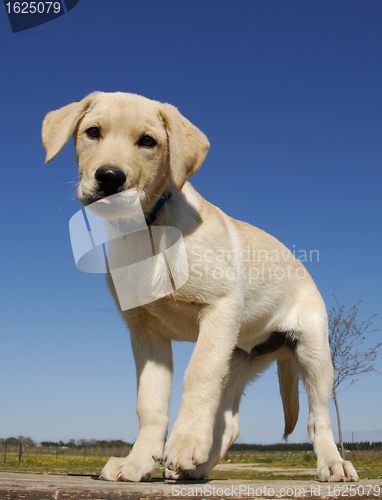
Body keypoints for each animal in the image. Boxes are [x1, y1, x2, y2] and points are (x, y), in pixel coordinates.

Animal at [41, 92, 358, 482]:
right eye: (92, 132)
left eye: (148, 141)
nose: (110, 177)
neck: (150, 229)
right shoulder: (145, 332)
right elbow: (149, 403)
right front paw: (138, 462)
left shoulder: (219, 309)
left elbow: (198, 375)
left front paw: (184, 443)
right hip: (238, 360)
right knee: (229, 424)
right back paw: (198, 469)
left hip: (313, 354)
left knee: (318, 417)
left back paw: (333, 463)